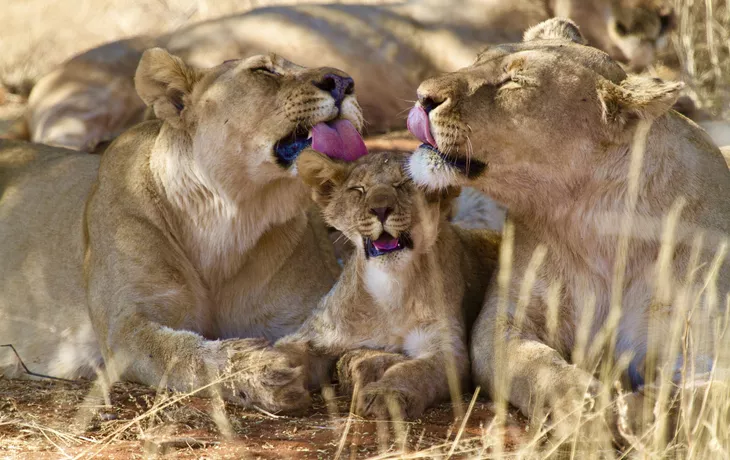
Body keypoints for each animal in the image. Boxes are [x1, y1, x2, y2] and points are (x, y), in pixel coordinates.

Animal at [0, 48, 371, 413]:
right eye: (264, 70)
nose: (344, 82)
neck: (231, 217)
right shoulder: (125, 326)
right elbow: (180, 353)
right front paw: (260, 370)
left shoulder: (308, 314)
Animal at [274, 150, 499, 419]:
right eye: (358, 189)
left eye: (403, 184)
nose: (380, 209)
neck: (390, 288)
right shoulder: (318, 333)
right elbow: (285, 351)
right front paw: (268, 375)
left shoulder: (447, 349)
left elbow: (414, 370)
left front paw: (387, 394)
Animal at [406, 18, 730, 441]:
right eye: (478, 59)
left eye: (515, 83)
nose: (422, 96)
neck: (594, 223)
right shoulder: (504, 319)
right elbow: (538, 366)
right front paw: (582, 406)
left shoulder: (704, 342)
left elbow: (705, 397)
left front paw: (640, 411)